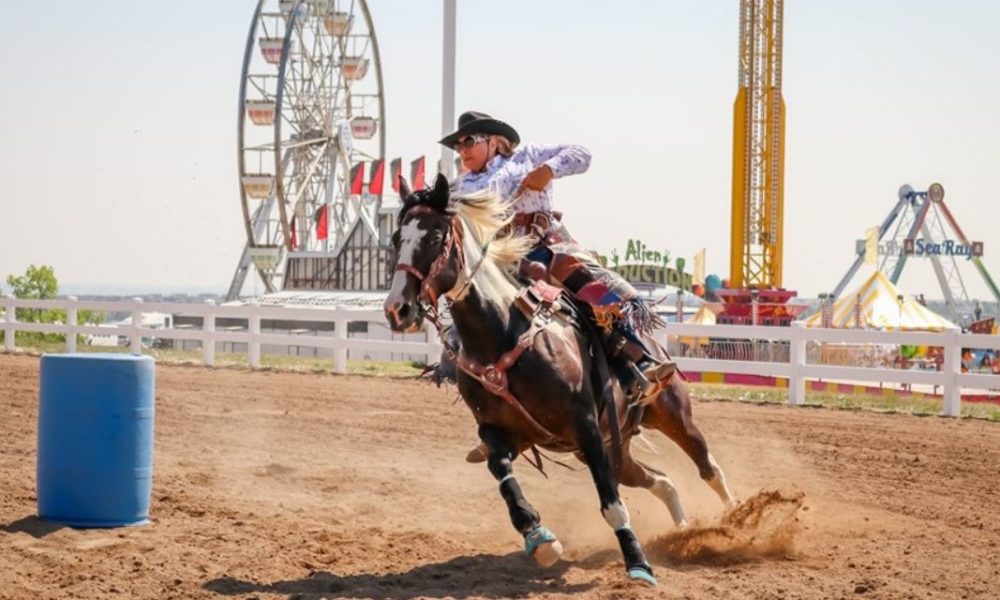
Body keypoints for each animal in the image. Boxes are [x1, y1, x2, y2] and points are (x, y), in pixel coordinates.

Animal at [382, 173, 736, 584]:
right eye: (396, 238)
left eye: (436, 237)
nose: (398, 309)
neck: (503, 332)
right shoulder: (502, 432)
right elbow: (502, 475)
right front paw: (540, 539)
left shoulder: (585, 426)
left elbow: (612, 505)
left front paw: (638, 565)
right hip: (617, 450)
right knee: (662, 480)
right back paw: (683, 532)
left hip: (670, 414)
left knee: (708, 468)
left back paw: (733, 521)